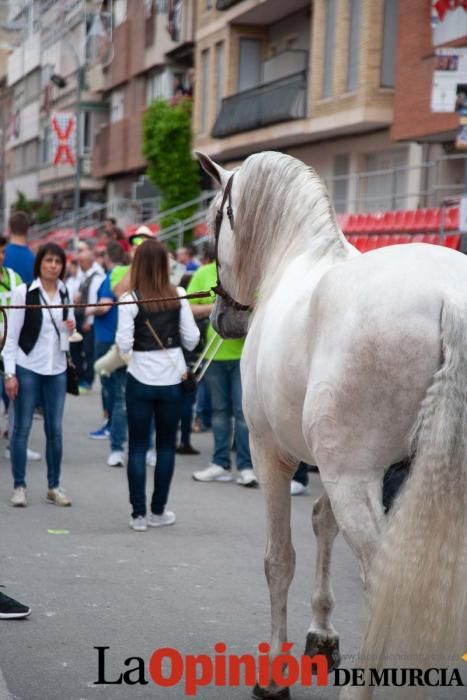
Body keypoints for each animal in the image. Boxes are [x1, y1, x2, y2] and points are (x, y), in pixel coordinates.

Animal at [197, 152, 467, 700]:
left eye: (213, 227)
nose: (222, 320)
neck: (296, 256)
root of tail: (448, 296)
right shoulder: (335, 465)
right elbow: (323, 522)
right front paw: (321, 634)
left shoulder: (273, 452)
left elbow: (279, 559)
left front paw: (274, 675)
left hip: (350, 476)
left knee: (383, 578)